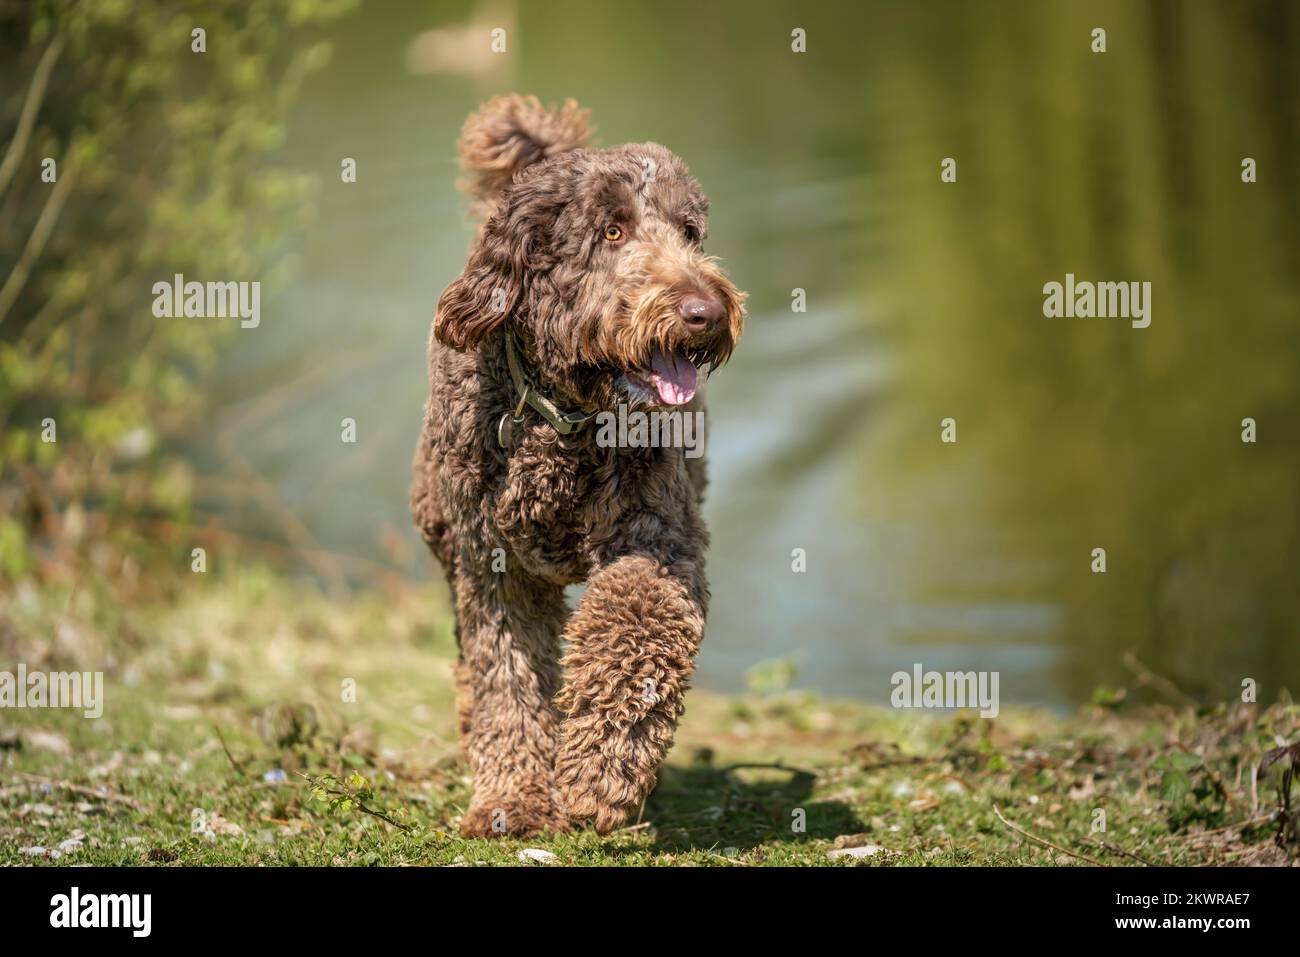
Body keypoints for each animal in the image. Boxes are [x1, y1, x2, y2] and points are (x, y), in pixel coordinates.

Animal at [410, 93, 748, 832]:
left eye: (690, 232)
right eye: (612, 232)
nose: (706, 312)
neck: (560, 416)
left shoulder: (657, 540)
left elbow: (631, 628)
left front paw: (600, 774)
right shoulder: (494, 567)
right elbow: (506, 676)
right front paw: (511, 797)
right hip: (443, 530)